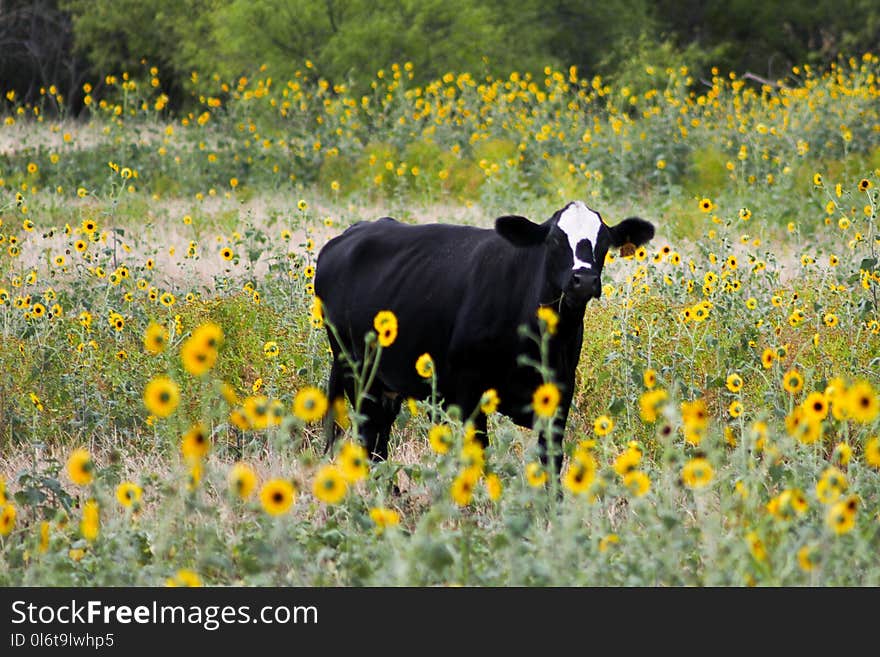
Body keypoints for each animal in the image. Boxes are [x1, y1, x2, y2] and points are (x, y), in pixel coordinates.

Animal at [312, 200, 652, 476]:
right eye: (555, 239)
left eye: (604, 241)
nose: (584, 280)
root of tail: (350, 234)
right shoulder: (469, 392)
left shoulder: (560, 392)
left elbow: (551, 464)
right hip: (357, 372)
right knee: (366, 438)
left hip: (386, 383)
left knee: (379, 442)